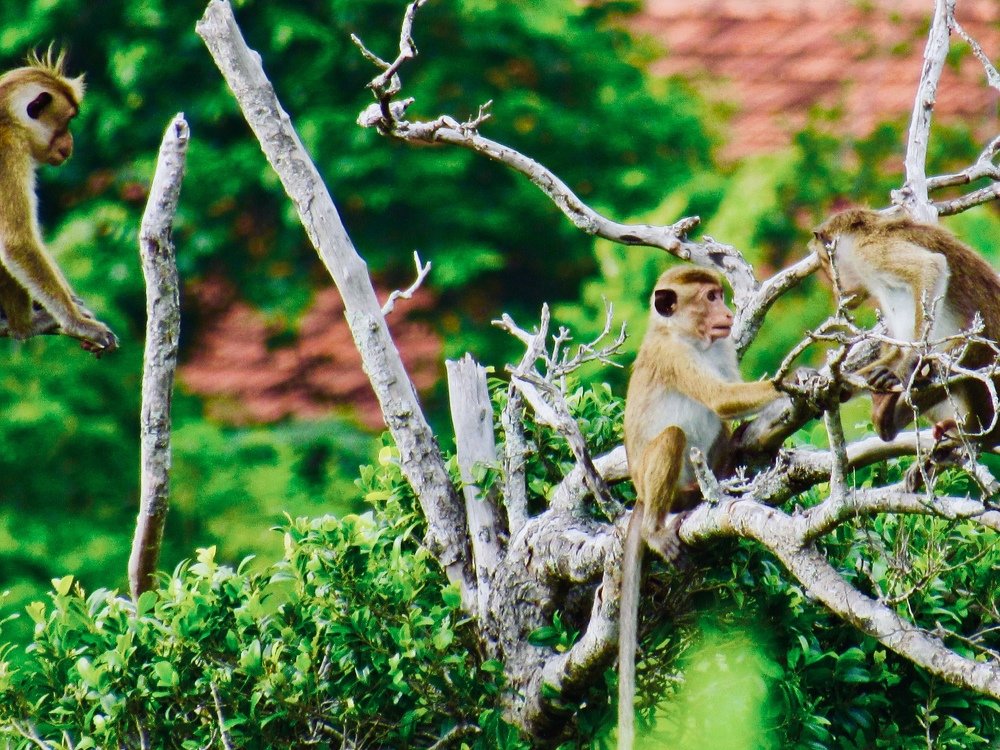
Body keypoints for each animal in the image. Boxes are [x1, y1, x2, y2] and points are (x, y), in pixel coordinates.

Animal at [0, 48, 117, 355]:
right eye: (66, 122)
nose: (71, 144)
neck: (8, 121)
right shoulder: (9, 153)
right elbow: (16, 241)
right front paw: (78, 324)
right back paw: (25, 326)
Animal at [617, 265, 785, 750]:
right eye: (709, 297)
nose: (727, 313)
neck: (688, 337)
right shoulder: (673, 356)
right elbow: (720, 398)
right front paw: (794, 379)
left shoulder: (723, 346)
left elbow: (727, 404)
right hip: (659, 485)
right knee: (673, 435)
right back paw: (655, 528)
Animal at [811, 208, 1000, 443]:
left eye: (824, 261)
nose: (838, 291)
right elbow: (897, 348)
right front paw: (838, 386)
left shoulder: (869, 251)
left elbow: (930, 267)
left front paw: (908, 365)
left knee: (961, 357)